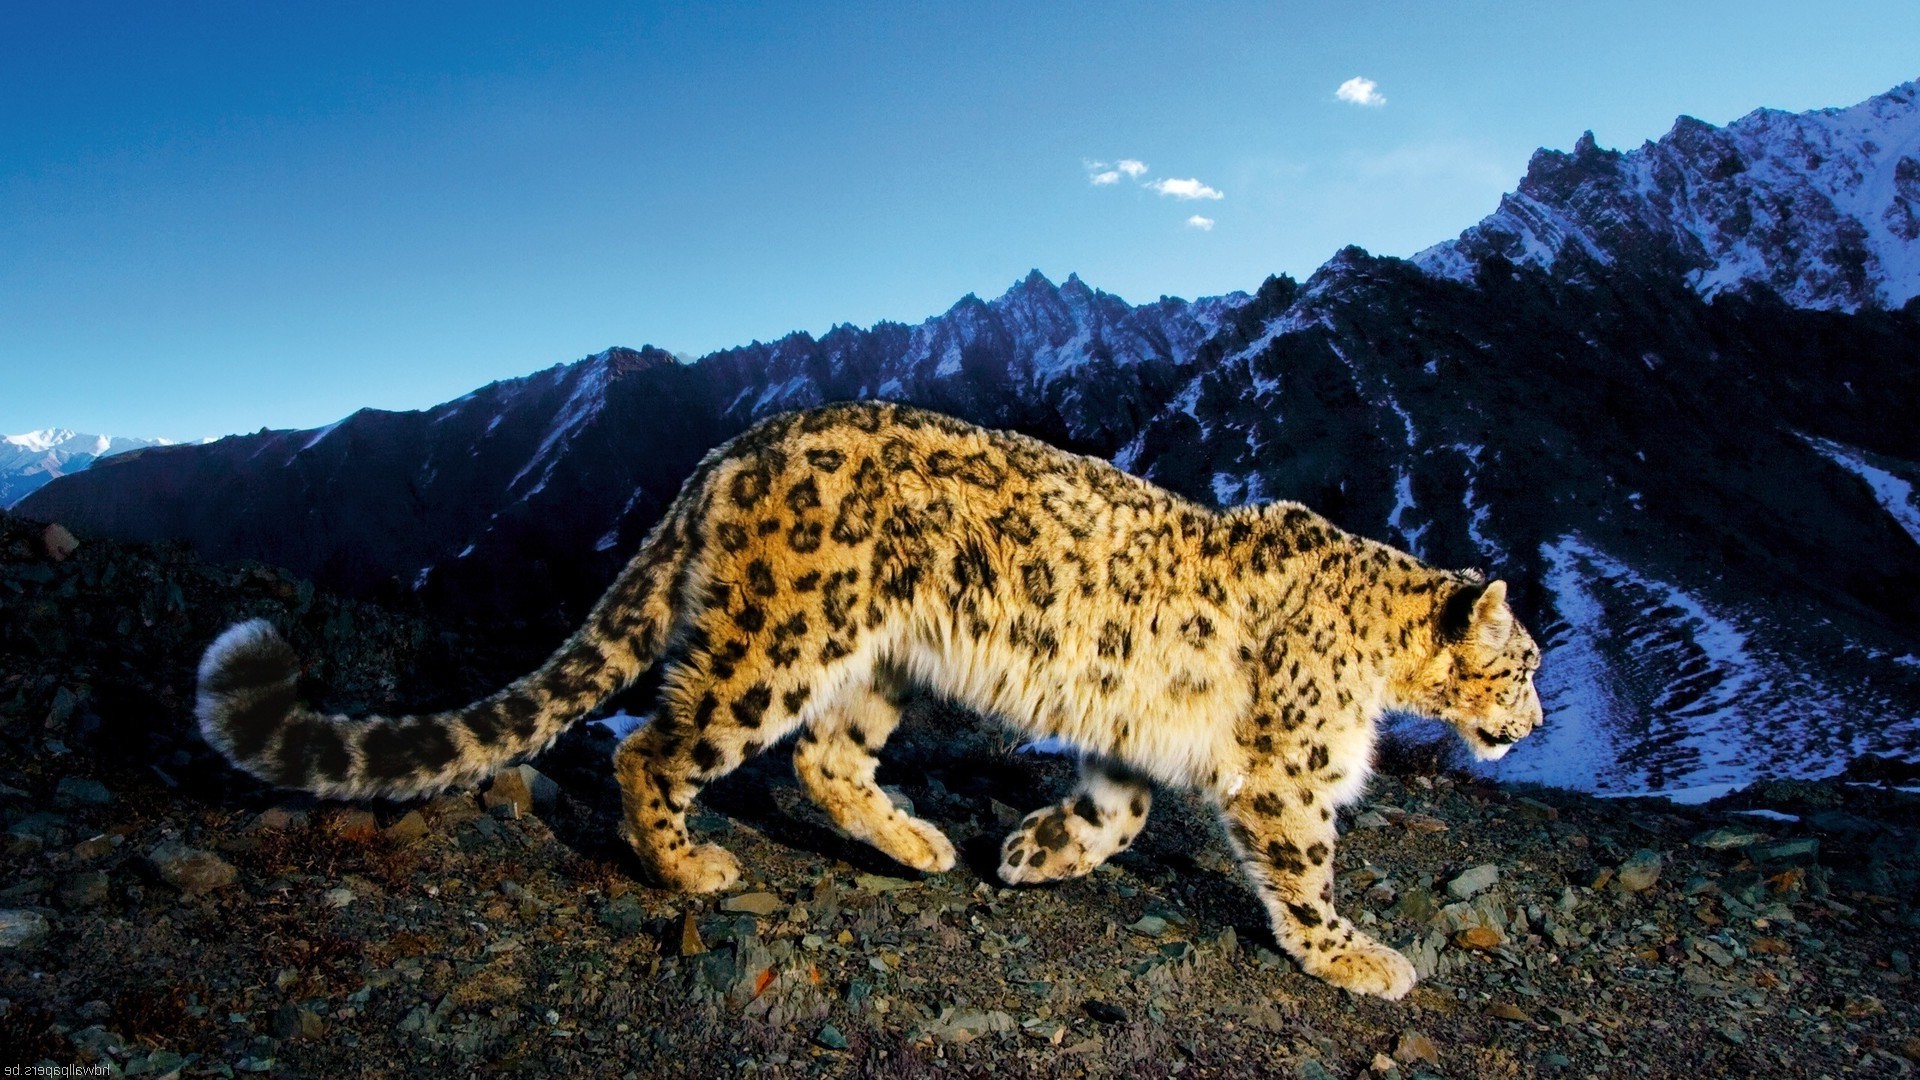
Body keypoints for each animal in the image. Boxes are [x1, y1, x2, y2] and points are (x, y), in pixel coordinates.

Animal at [197, 400, 1543, 1000]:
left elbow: (1118, 814)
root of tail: (731, 450)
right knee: (659, 748)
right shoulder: (1289, 772)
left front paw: (1034, 853)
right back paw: (692, 867)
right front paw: (1357, 956)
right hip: (778, 639)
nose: (1533, 723)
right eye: (1526, 662)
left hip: (876, 664)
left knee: (824, 761)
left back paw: (924, 844)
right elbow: (1303, 869)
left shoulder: (1133, 741)